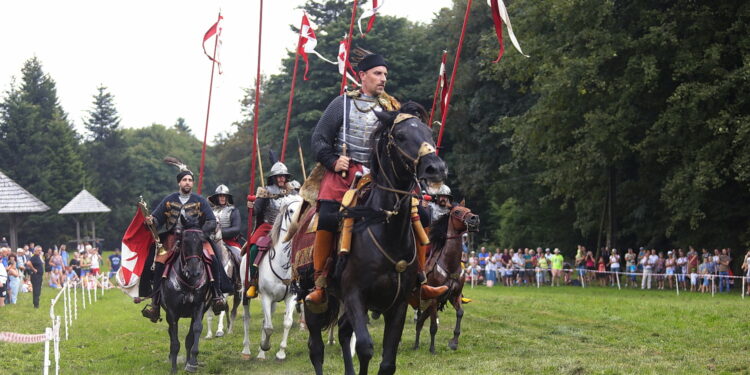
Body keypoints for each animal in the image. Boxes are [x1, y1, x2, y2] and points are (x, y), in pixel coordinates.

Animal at [414, 204, 478, 354]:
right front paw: (432, 349)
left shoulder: (454, 296)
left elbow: (460, 313)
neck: (450, 265)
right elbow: (433, 327)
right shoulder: (434, 299)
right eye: (457, 211)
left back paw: (417, 344)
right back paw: (416, 344)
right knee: (420, 318)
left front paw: (454, 342)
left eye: (468, 209)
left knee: (420, 320)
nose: (475, 218)